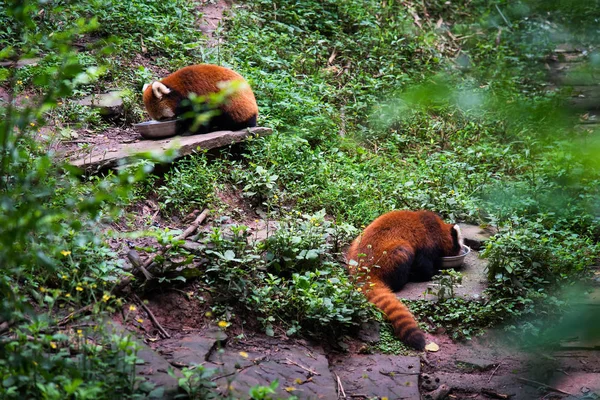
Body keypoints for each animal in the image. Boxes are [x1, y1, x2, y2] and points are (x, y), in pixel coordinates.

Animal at [344, 209, 462, 350]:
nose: (462, 250)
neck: (438, 227)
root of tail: (364, 269)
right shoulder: (428, 241)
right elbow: (424, 266)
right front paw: (435, 271)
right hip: (395, 254)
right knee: (404, 256)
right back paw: (406, 278)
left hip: (355, 244)